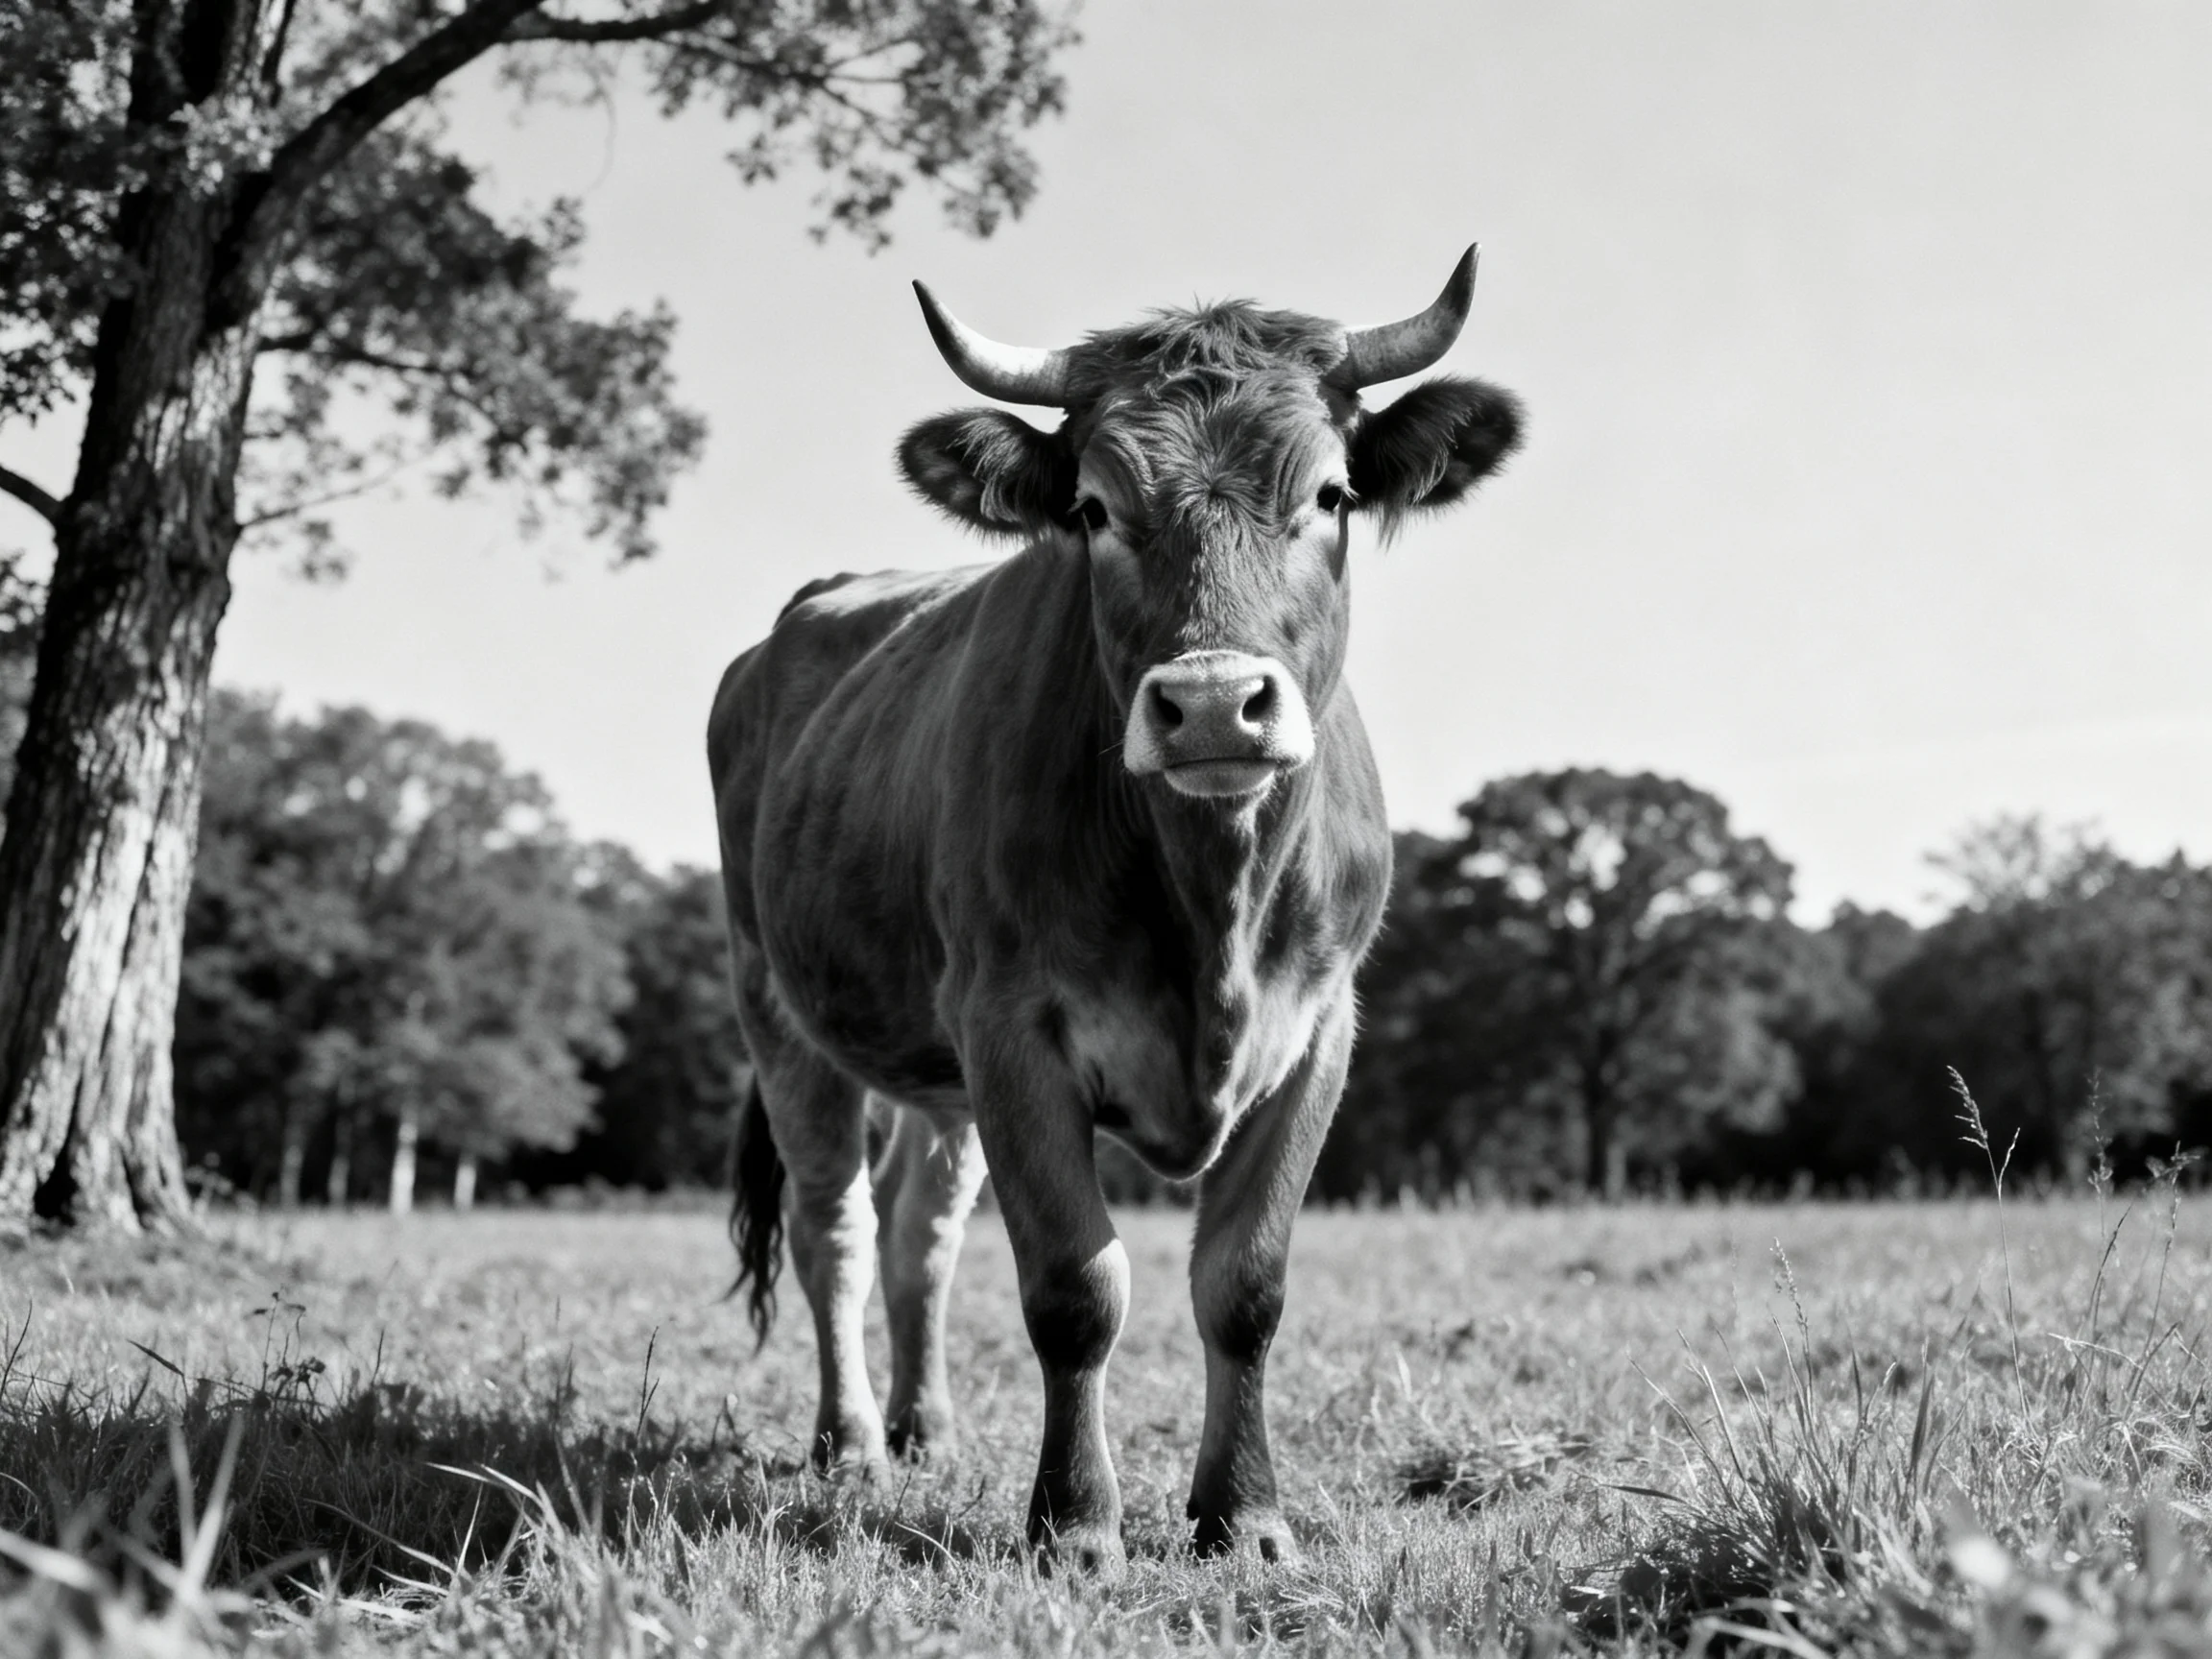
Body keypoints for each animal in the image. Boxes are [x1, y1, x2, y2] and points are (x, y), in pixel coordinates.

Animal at [709, 248, 1522, 1575]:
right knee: (835, 1227)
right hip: (781, 1014)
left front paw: (1243, 1514)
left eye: (1334, 494)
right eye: (1092, 508)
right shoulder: (1013, 1028)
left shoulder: (1320, 1033)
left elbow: (1245, 1286)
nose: (1213, 705)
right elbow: (1074, 1290)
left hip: (937, 1072)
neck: (1211, 904)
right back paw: (853, 1444)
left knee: (919, 1232)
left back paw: (927, 1429)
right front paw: (1076, 1522)